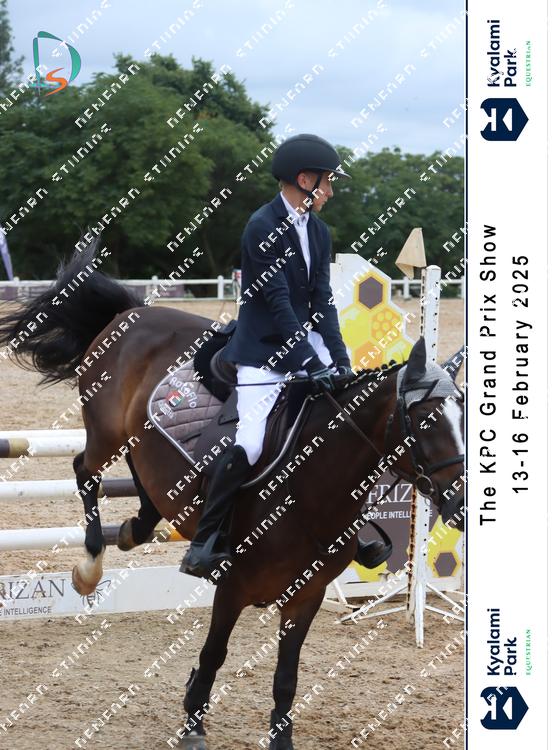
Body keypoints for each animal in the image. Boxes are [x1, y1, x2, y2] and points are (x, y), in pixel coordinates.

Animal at [0, 242, 464, 749]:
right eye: (424, 420)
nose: (460, 503)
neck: (309, 492)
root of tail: (133, 312)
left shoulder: (307, 596)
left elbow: (286, 677)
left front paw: (280, 739)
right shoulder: (232, 587)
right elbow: (214, 654)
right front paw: (193, 723)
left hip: (139, 442)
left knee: (142, 484)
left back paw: (135, 526)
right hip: (106, 434)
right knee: (84, 471)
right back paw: (90, 566)